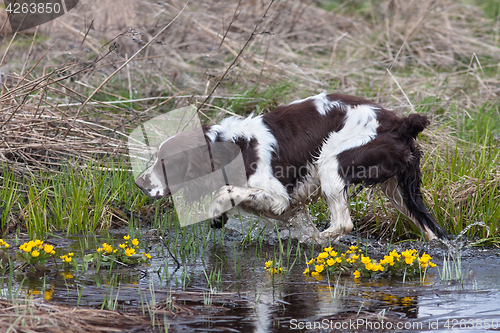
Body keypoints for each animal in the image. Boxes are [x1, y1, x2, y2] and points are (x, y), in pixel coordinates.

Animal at [135, 92, 448, 240]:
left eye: (165, 163)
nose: (139, 184)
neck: (231, 147)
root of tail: (401, 123)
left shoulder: (279, 197)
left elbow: (228, 191)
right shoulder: (286, 207)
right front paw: (218, 215)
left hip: (330, 162)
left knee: (342, 224)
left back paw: (318, 243)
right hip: (402, 190)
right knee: (432, 230)